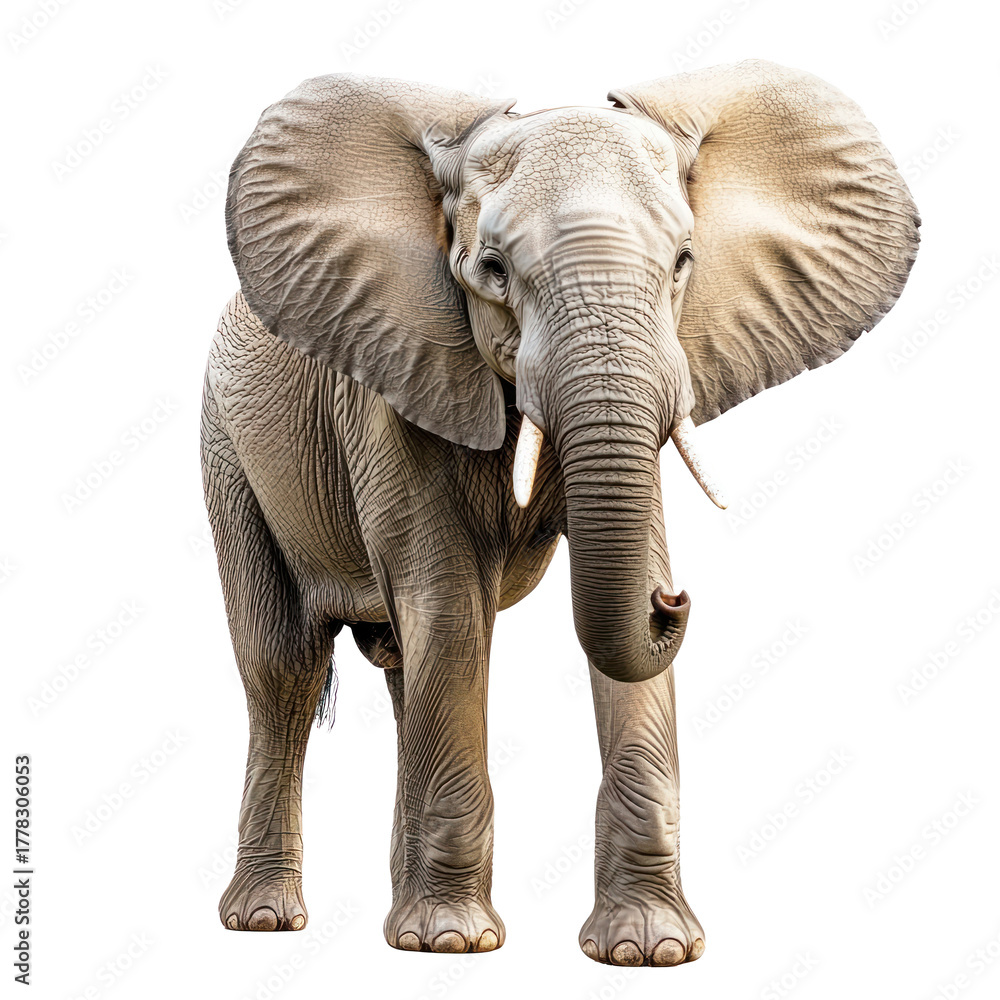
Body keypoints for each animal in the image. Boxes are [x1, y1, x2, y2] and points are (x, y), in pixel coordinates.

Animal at [201, 59, 918, 964]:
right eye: (493, 269)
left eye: (682, 261)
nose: (674, 601)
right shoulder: (397, 381)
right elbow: (450, 609)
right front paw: (453, 944)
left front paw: (649, 950)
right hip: (227, 449)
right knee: (284, 669)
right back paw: (269, 922)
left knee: (399, 664)